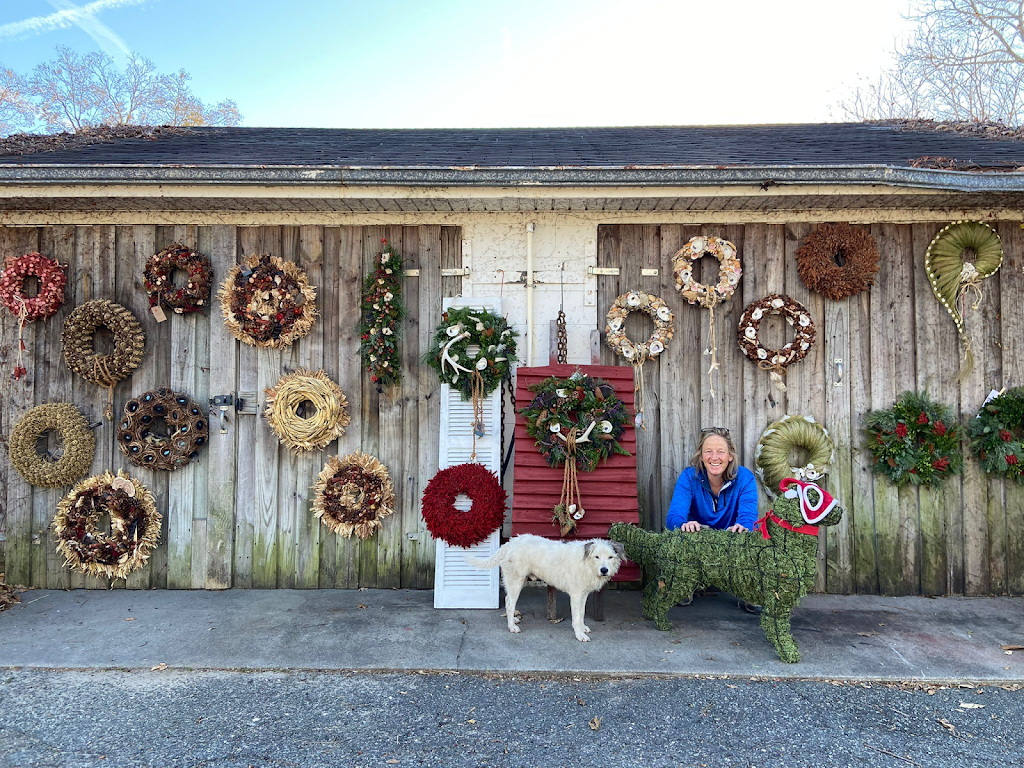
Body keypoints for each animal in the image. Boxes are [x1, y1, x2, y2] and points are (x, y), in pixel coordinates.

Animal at [468, 536, 622, 643]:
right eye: (597, 557)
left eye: (610, 557)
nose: (604, 570)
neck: (587, 563)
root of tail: (511, 542)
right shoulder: (576, 595)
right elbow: (576, 617)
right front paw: (579, 634)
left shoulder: (583, 594)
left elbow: (582, 613)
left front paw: (583, 628)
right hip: (516, 580)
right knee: (511, 603)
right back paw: (512, 627)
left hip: (519, 581)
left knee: (507, 600)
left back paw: (513, 620)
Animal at [610, 481, 843, 667]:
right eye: (815, 497)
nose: (840, 510)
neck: (781, 542)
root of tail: (667, 537)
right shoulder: (779, 600)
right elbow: (778, 627)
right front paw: (788, 652)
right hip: (681, 579)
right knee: (660, 597)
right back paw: (662, 622)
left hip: (673, 575)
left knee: (653, 587)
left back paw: (649, 613)